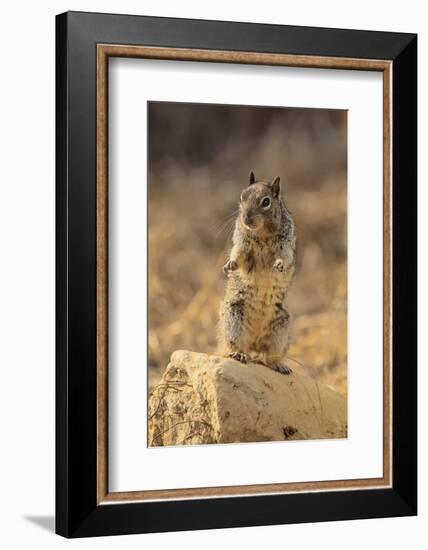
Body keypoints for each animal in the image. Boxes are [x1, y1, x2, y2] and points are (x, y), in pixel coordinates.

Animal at [217, 172, 298, 378]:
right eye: (241, 197)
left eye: (266, 202)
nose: (246, 219)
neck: (261, 232)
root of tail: (254, 343)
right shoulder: (242, 244)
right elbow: (238, 255)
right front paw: (229, 265)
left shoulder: (285, 245)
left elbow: (285, 257)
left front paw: (279, 265)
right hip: (234, 321)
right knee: (232, 346)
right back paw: (238, 354)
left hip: (280, 329)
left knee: (267, 357)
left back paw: (280, 365)